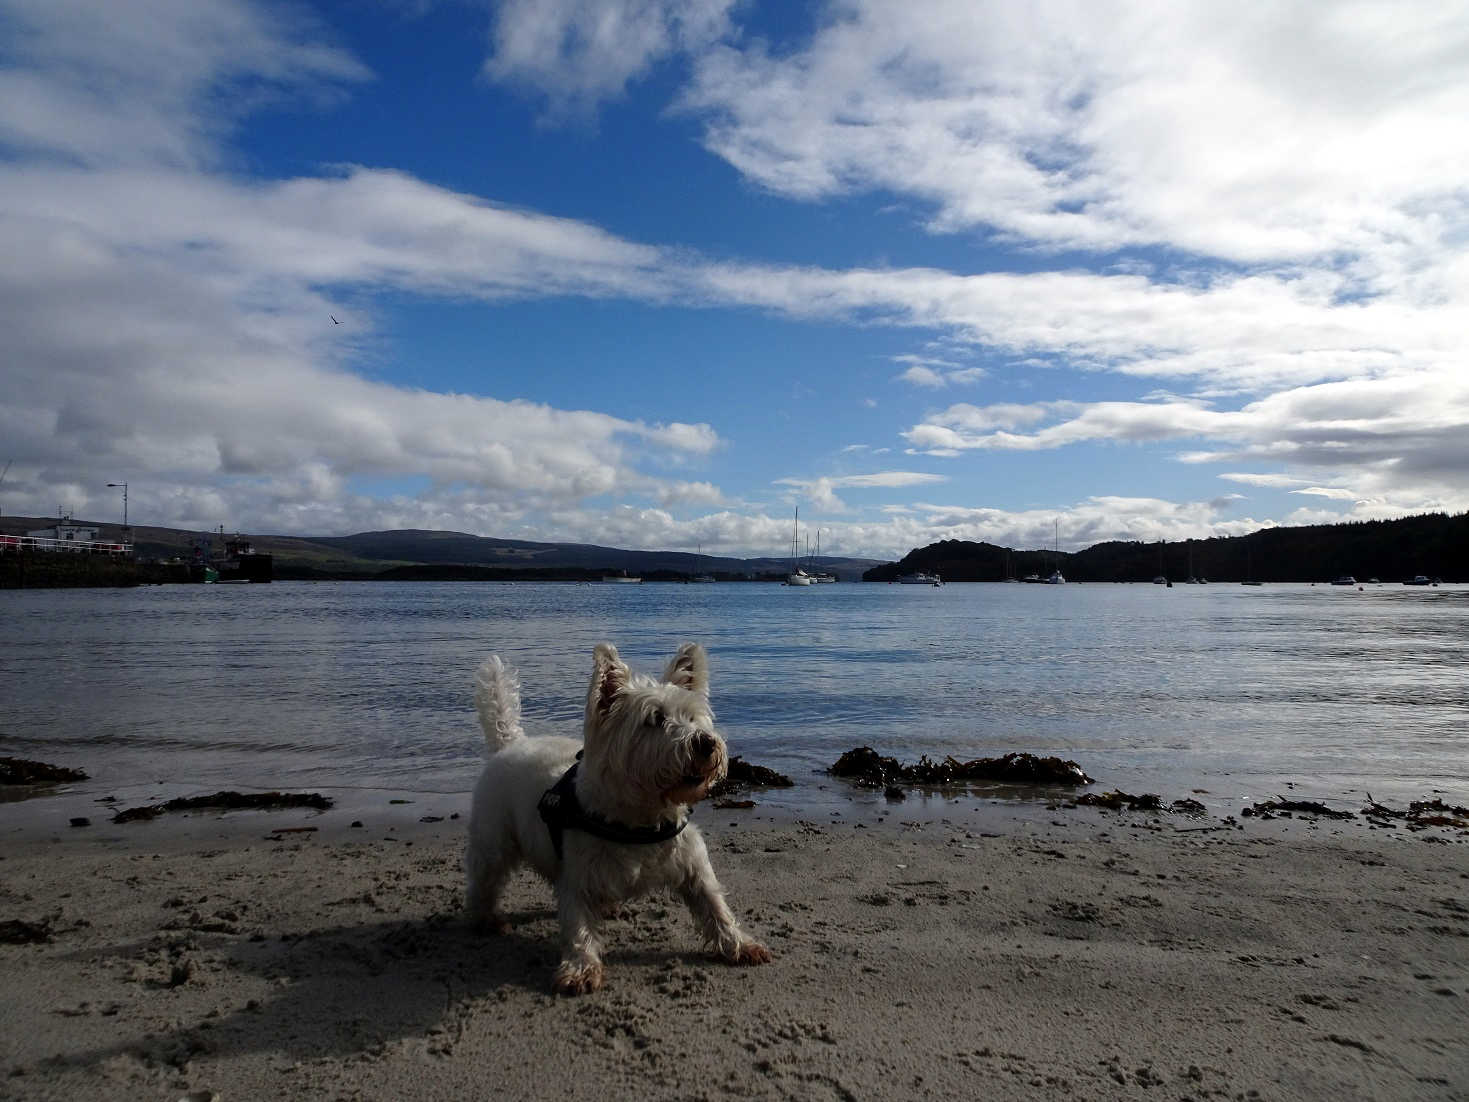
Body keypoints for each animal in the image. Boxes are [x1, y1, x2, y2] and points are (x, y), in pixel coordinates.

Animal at [467, 643, 769, 999]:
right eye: (655, 718)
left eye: (693, 716)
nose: (706, 742)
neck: (641, 820)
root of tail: (512, 743)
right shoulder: (578, 877)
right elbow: (578, 926)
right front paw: (581, 970)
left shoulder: (692, 865)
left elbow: (716, 906)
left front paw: (741, 944)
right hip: (494, 840)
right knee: (484, 880)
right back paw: (486, 919)